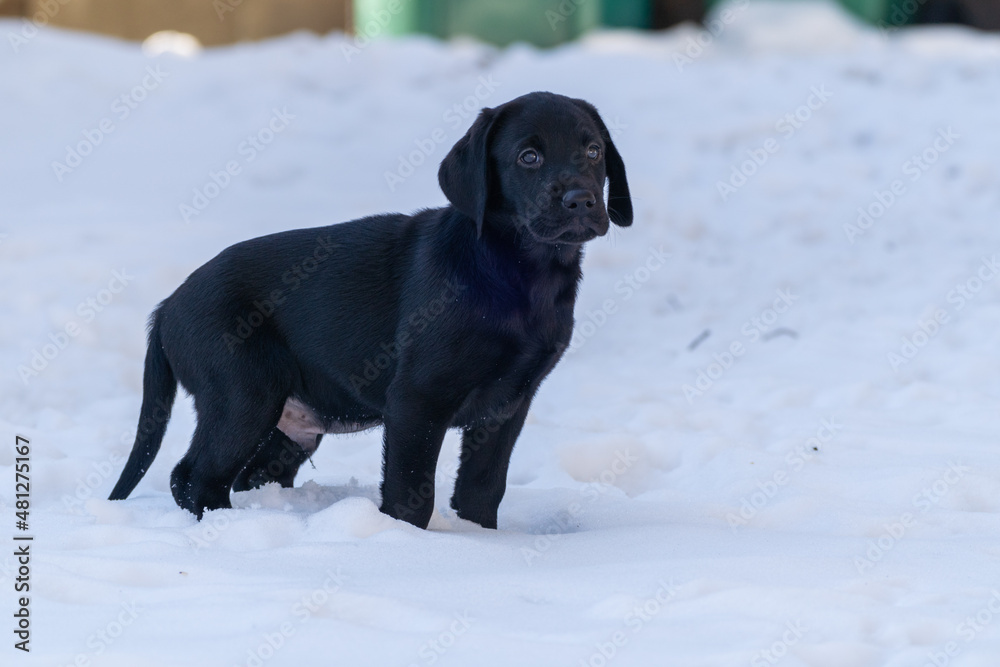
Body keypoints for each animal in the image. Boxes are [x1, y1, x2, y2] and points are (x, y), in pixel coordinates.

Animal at [109, 91, 632, 528]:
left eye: (593, 152)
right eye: (529, 157)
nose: (581, 199)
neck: (522, 274)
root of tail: (166, 307)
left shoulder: (508, 404)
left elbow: (483, 487)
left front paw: (479, 538)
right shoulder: (417, 400)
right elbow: (411, 493)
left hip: (292, 421)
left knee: (247, 475)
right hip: (243, 395)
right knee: (195, 477)